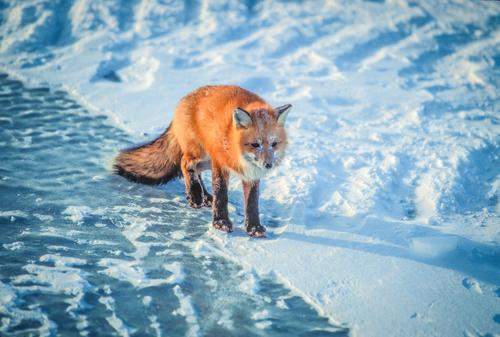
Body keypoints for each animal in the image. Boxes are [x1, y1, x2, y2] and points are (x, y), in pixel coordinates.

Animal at [114, 84, 292, 236]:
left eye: (274, 144)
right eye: (255, 144)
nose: (268, 165)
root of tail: (184, 99)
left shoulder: (251, 173)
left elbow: (252, 203)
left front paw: (253, 227)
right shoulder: (220, 162)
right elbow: (221, 194)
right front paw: (220, 222)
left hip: (206, 161)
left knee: (196, 171)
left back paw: (204, 196)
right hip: (200, 153)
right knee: (184, 163)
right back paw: (195, 195)